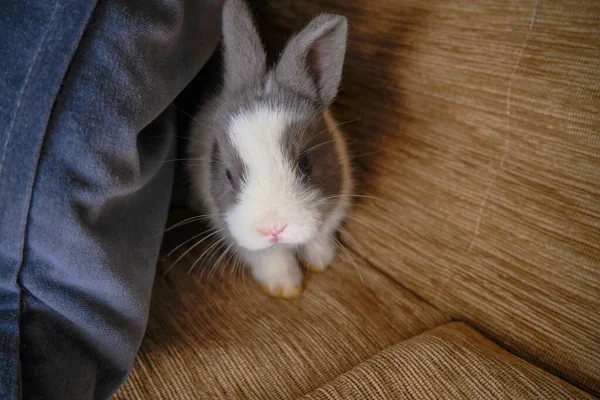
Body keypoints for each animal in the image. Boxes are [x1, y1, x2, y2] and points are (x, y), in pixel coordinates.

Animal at [186, 0, 352, 296]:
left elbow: (318, 240)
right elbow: (272, 259)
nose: (273, 229)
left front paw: (320, 262)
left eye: (305, 162)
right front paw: (287, 289)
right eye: (228, 174)